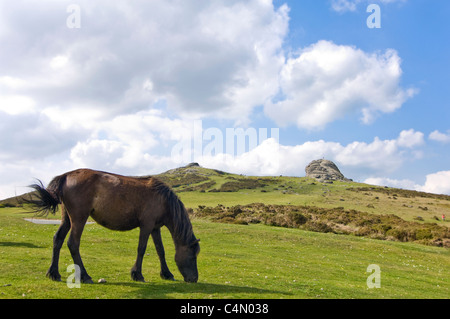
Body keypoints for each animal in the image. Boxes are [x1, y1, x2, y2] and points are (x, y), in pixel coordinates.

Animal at [26, 169, 199, 284]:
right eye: (193, 255)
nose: (194, 279)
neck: (162, 199)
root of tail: (67, 175)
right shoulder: (146, 226)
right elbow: (141, 249)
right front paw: (137, 274)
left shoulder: (155, 228)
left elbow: (160, 251)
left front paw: (167, 273)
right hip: (79, 218)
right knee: (72, 243)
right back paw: (85, 276)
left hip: (67, 219)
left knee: (58, 240)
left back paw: (54, 273)